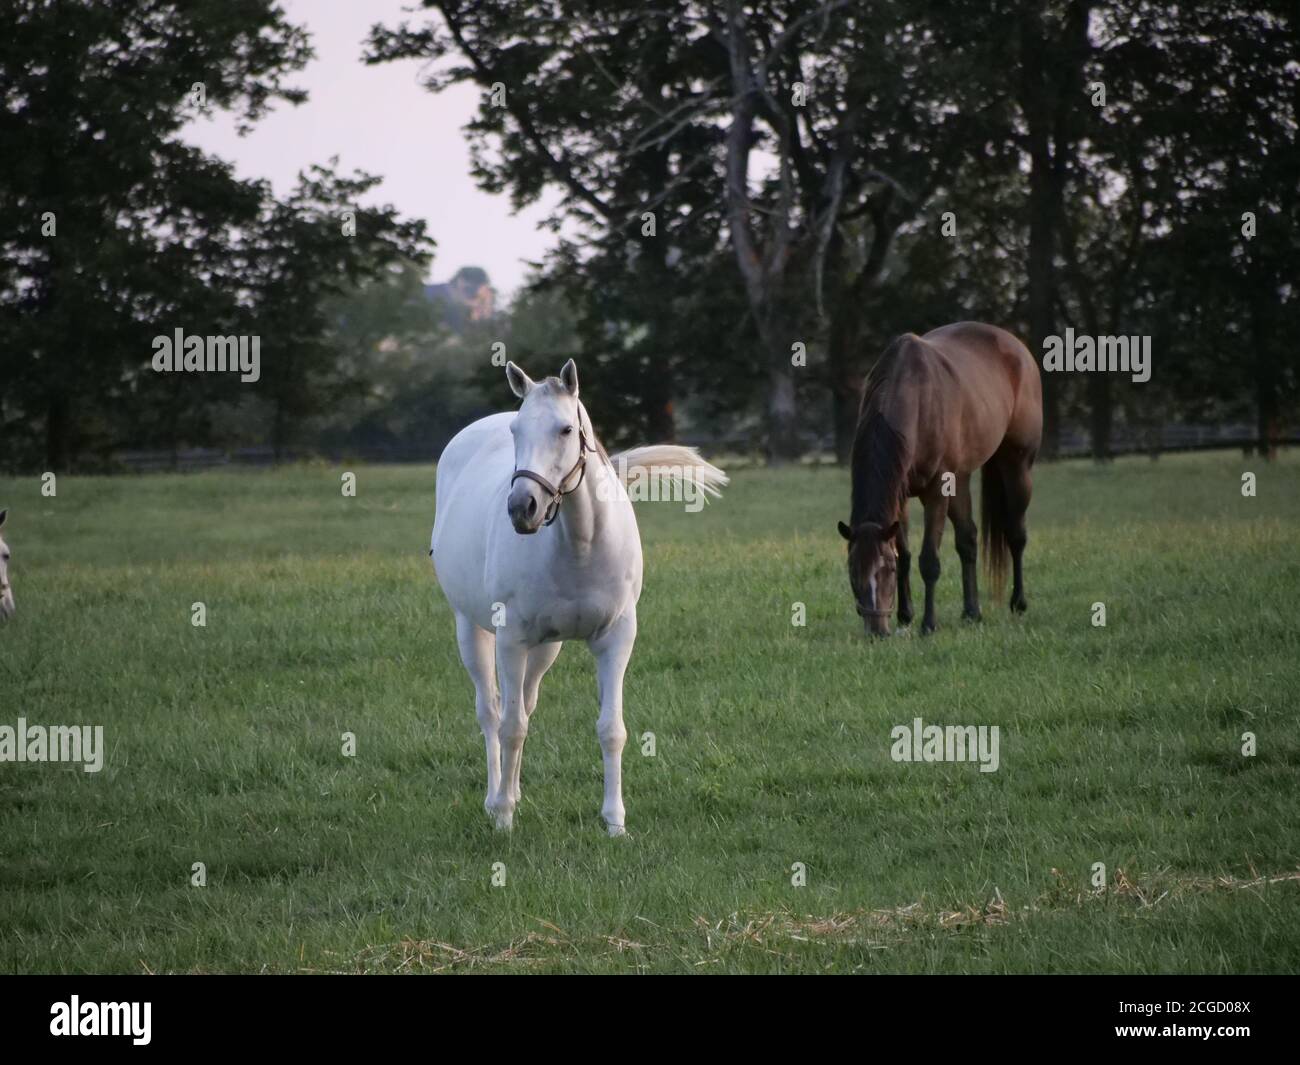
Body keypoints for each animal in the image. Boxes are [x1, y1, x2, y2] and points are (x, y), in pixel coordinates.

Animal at [430, 359, 727, 835]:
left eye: (566, 429)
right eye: (516, 430)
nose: (522, 508)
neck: (581, 544)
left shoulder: (616, 637)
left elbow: (611, 728)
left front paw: (615, 822)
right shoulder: (511, 639)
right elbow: (510, 727)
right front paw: (505, 819)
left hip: (545, 648)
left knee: (525, 704)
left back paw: (515, 790)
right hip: (471, 628)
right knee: (492, 712)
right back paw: (496, 799)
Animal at [838, 322, 1042, 636]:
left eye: (886, 570)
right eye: (852, 572)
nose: (877, 631)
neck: (916, 398)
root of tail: (1016, 345)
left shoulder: (936, 492)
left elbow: (928, 561)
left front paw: (928, 624)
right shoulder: (901, 496)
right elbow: (906, 554)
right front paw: (905, 616)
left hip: (1016, 466)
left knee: (1015, 534)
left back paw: (1018, 603)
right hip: (961, 479)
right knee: (968, 538)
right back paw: (972, 612)